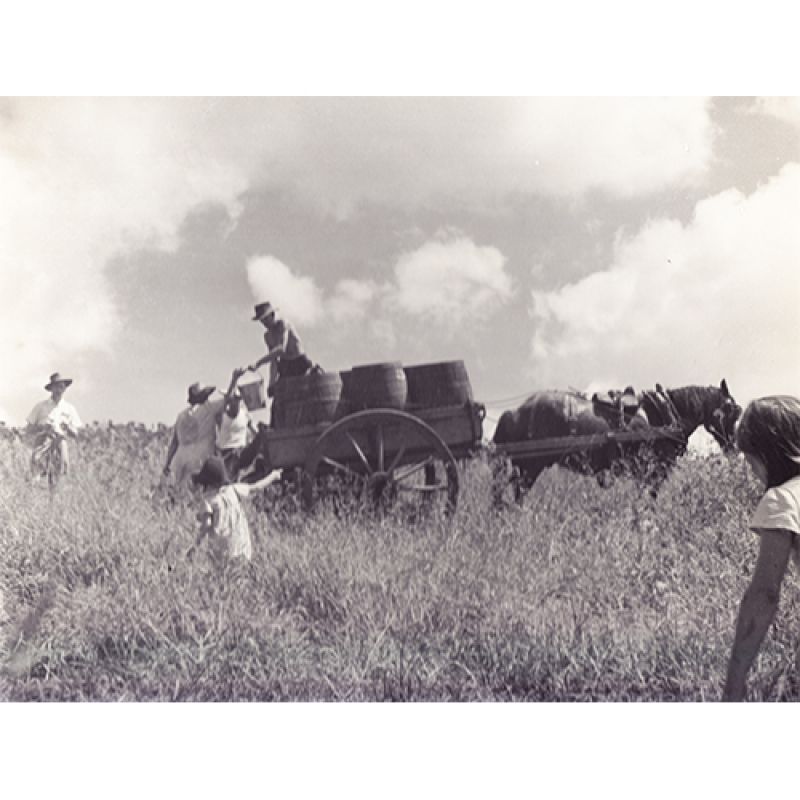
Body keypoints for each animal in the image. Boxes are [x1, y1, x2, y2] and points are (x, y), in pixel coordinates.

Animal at [490, 378, 740, 504]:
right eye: (733, 410)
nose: (733, 448)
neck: (666, 412)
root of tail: (515, 411)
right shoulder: (653, 473)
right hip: (531, 466)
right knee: (518, 494)